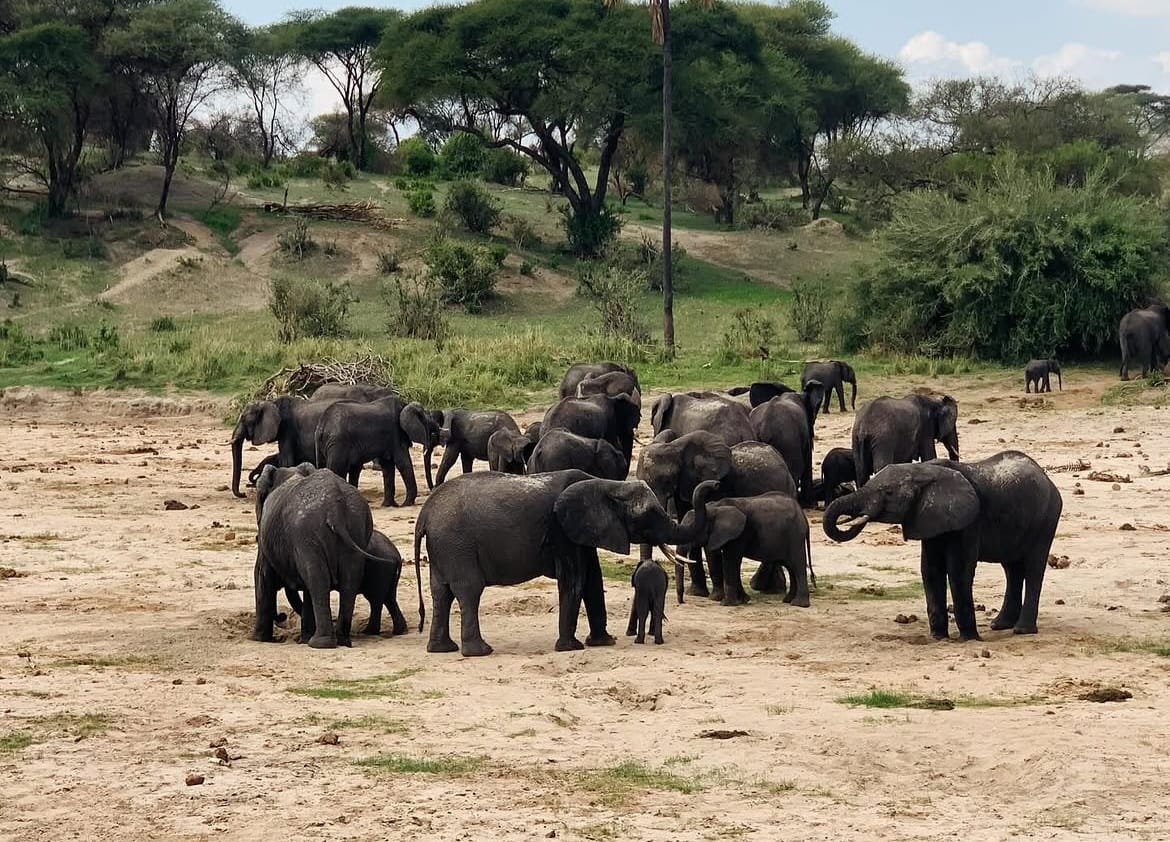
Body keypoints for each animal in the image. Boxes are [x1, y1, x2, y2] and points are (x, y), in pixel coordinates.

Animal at [252, 465, 398, 649]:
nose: (282, 616)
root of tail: (335, 508)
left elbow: (262, 575)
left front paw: (259, 639)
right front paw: (302, 638)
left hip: (306, 532)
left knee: (317, 579)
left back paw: (319, 643)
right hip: (358, 528)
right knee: (348, 580)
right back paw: (341, 640)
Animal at [413, 470, 717, 656]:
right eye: (648, 515)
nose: (714, 484)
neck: (605, 483)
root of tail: (425, 513)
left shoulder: (582, 532)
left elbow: (593, 579)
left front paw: (603, 642)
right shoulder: (562, 530)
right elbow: (575, 580)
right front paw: (571, 648)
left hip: (445, 548)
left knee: (442, 593)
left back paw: (442, 649)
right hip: (456, 544)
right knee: (469, 591)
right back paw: (480, 652)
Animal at [636, 430, 797, 597]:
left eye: (666, 480)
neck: (676, 447)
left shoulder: (716, 489)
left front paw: (716, 596)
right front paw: (698, 593)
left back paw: (764, 587)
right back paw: (771, 588)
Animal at [682, 492, 811, 608]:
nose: (682, 602)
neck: (715, 507)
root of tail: (803, 515)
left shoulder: (740, 535)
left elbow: (730, 560)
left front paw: (727, 604)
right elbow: (733, 562)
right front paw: (743, 600)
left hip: (795, 536)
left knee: (797, 566)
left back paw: (799, 604)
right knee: (790, 567)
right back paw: (788, 601)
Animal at [824, 451, 1062, 640]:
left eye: (889, 493)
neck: (924, 471)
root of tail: (1046, 478)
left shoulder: (969, 521)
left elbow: (958, 571)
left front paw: (969, 639)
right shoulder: (929, 518)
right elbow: (930, 570)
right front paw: (938, 637)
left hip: (1046, 518)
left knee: (1033, 568)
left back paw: (1022, 630)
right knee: (1012, 569)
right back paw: (999, 625)